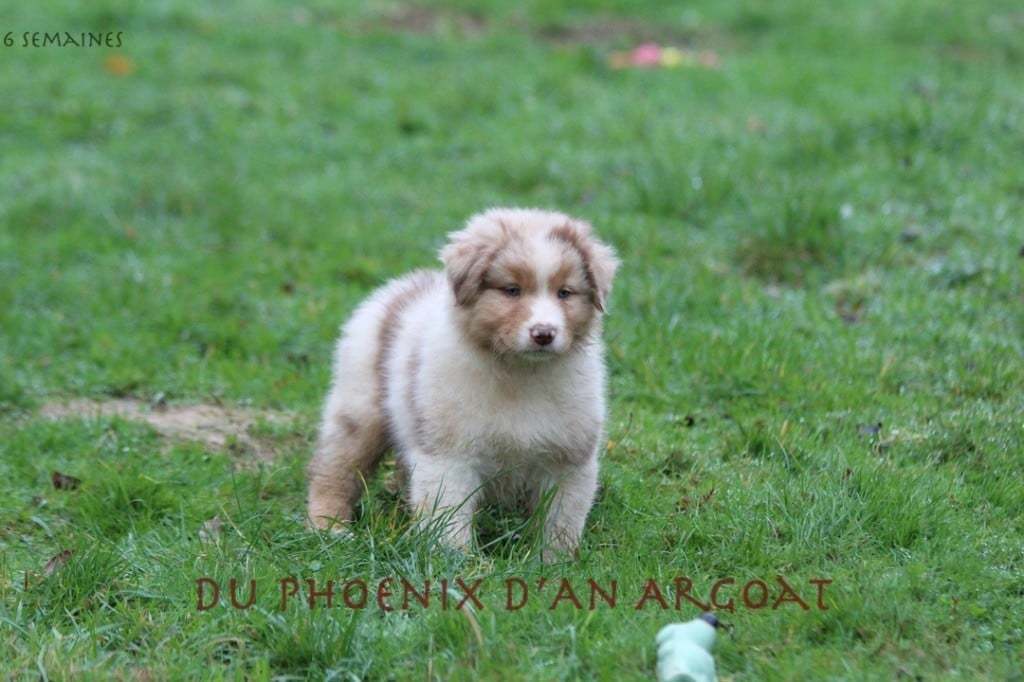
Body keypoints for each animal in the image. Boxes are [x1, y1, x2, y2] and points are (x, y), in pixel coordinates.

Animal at [306, 208, 619, 561]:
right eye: (512, 290)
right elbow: (449, 516)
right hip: (360, 411)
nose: (543, 333)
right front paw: (457, 561)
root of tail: (401, 287)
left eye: (564, 293)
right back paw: (328, 527)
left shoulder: (568, 459)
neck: (521, 373)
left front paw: (554, 564)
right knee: (333, 470)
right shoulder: (449, 455)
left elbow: (561, 520)